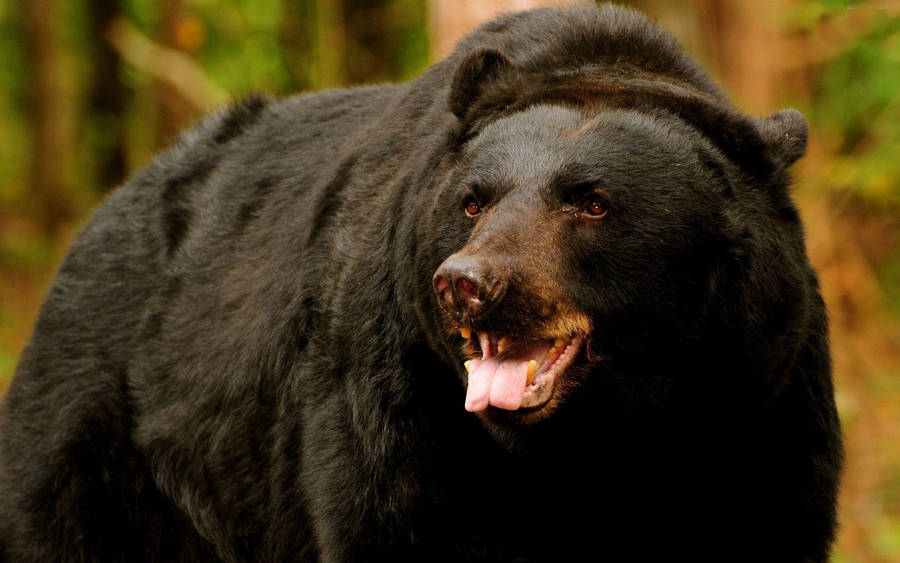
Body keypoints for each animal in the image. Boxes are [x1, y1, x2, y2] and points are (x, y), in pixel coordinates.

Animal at [0, 3, 841, 561]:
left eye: (592, 200)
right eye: (474, 199)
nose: (467, 282)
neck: (595, 441)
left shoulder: (756, 402)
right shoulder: (402, 406)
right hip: (99, 435)